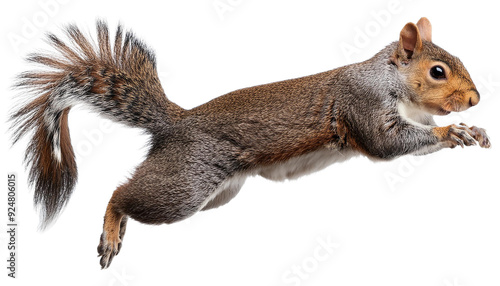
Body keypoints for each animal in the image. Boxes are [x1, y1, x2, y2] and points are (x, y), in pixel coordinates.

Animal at [8, 17, 492, 268]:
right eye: (437, 71)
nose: (475, 99)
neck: (392, 81)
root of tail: (175, 124)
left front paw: (474, 129)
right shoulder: (364, 105)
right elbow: (387, 143)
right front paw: (452, 132)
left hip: (217, 192)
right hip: (185, 184)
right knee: (121, 194)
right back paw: (111, 231)